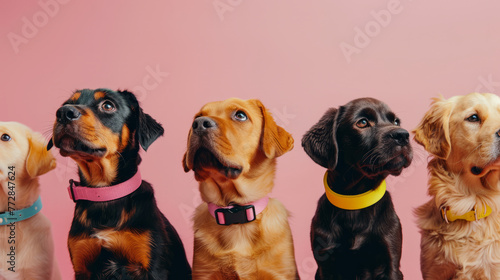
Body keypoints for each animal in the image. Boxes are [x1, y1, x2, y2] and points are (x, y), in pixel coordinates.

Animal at [48, 89, 192, 280]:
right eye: (66, 103)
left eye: (108, 105)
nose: (64, 112)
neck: (105, 193)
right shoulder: (82, 266)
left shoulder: (153, 268)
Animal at [300, 98, 414, 280]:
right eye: (362, 122)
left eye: (396, 121)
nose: (403, 135)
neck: (355, 202)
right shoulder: (325, 265)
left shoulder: (391, 261)